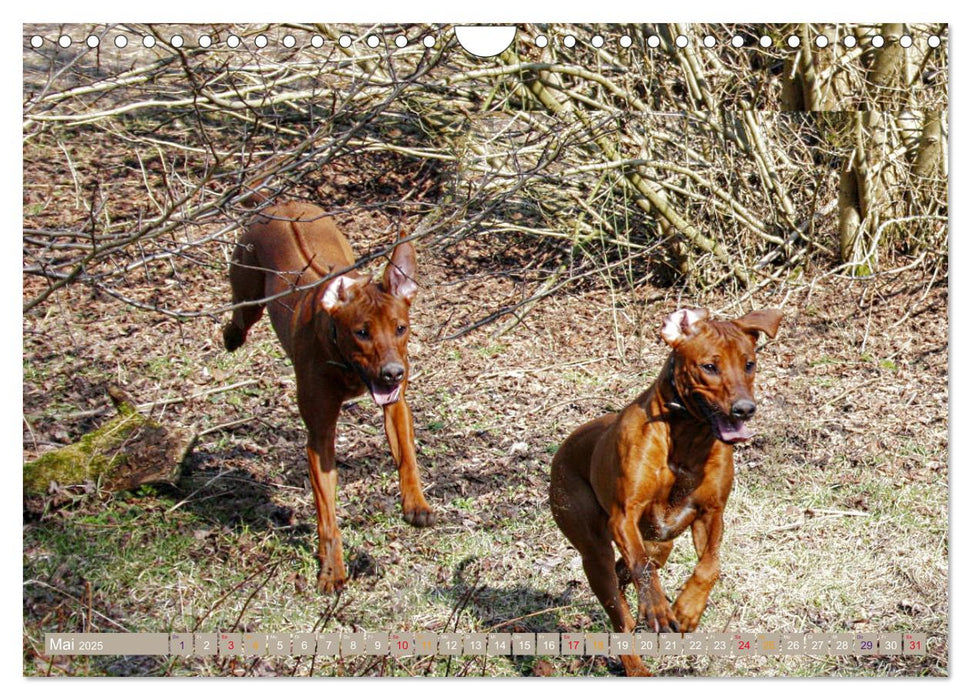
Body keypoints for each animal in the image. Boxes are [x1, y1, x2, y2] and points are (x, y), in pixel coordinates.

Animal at [224, 200, 436, 592]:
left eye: (401, 328)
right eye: (362, 332)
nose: (392, 373)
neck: (346, 365)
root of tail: (282, 203)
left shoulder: (396, 404)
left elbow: (407, 457)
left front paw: (416, 505)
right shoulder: (319, 436)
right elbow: (327, 514)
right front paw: (332, 568)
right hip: (248, 291)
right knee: (239, 316)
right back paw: (231, 336)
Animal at [556, 308, 784, 676]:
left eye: (749, 364)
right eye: (709, 366)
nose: (745, 409)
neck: (689, 437)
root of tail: (563, 447)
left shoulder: (711, 513)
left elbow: (710, 566)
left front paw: (688, 608)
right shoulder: (625, 515)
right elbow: (643, 569)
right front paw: (658, 609)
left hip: (660, 541)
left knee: (631, 568)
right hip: (592, 547)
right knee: (619, 611)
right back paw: (636, 661)